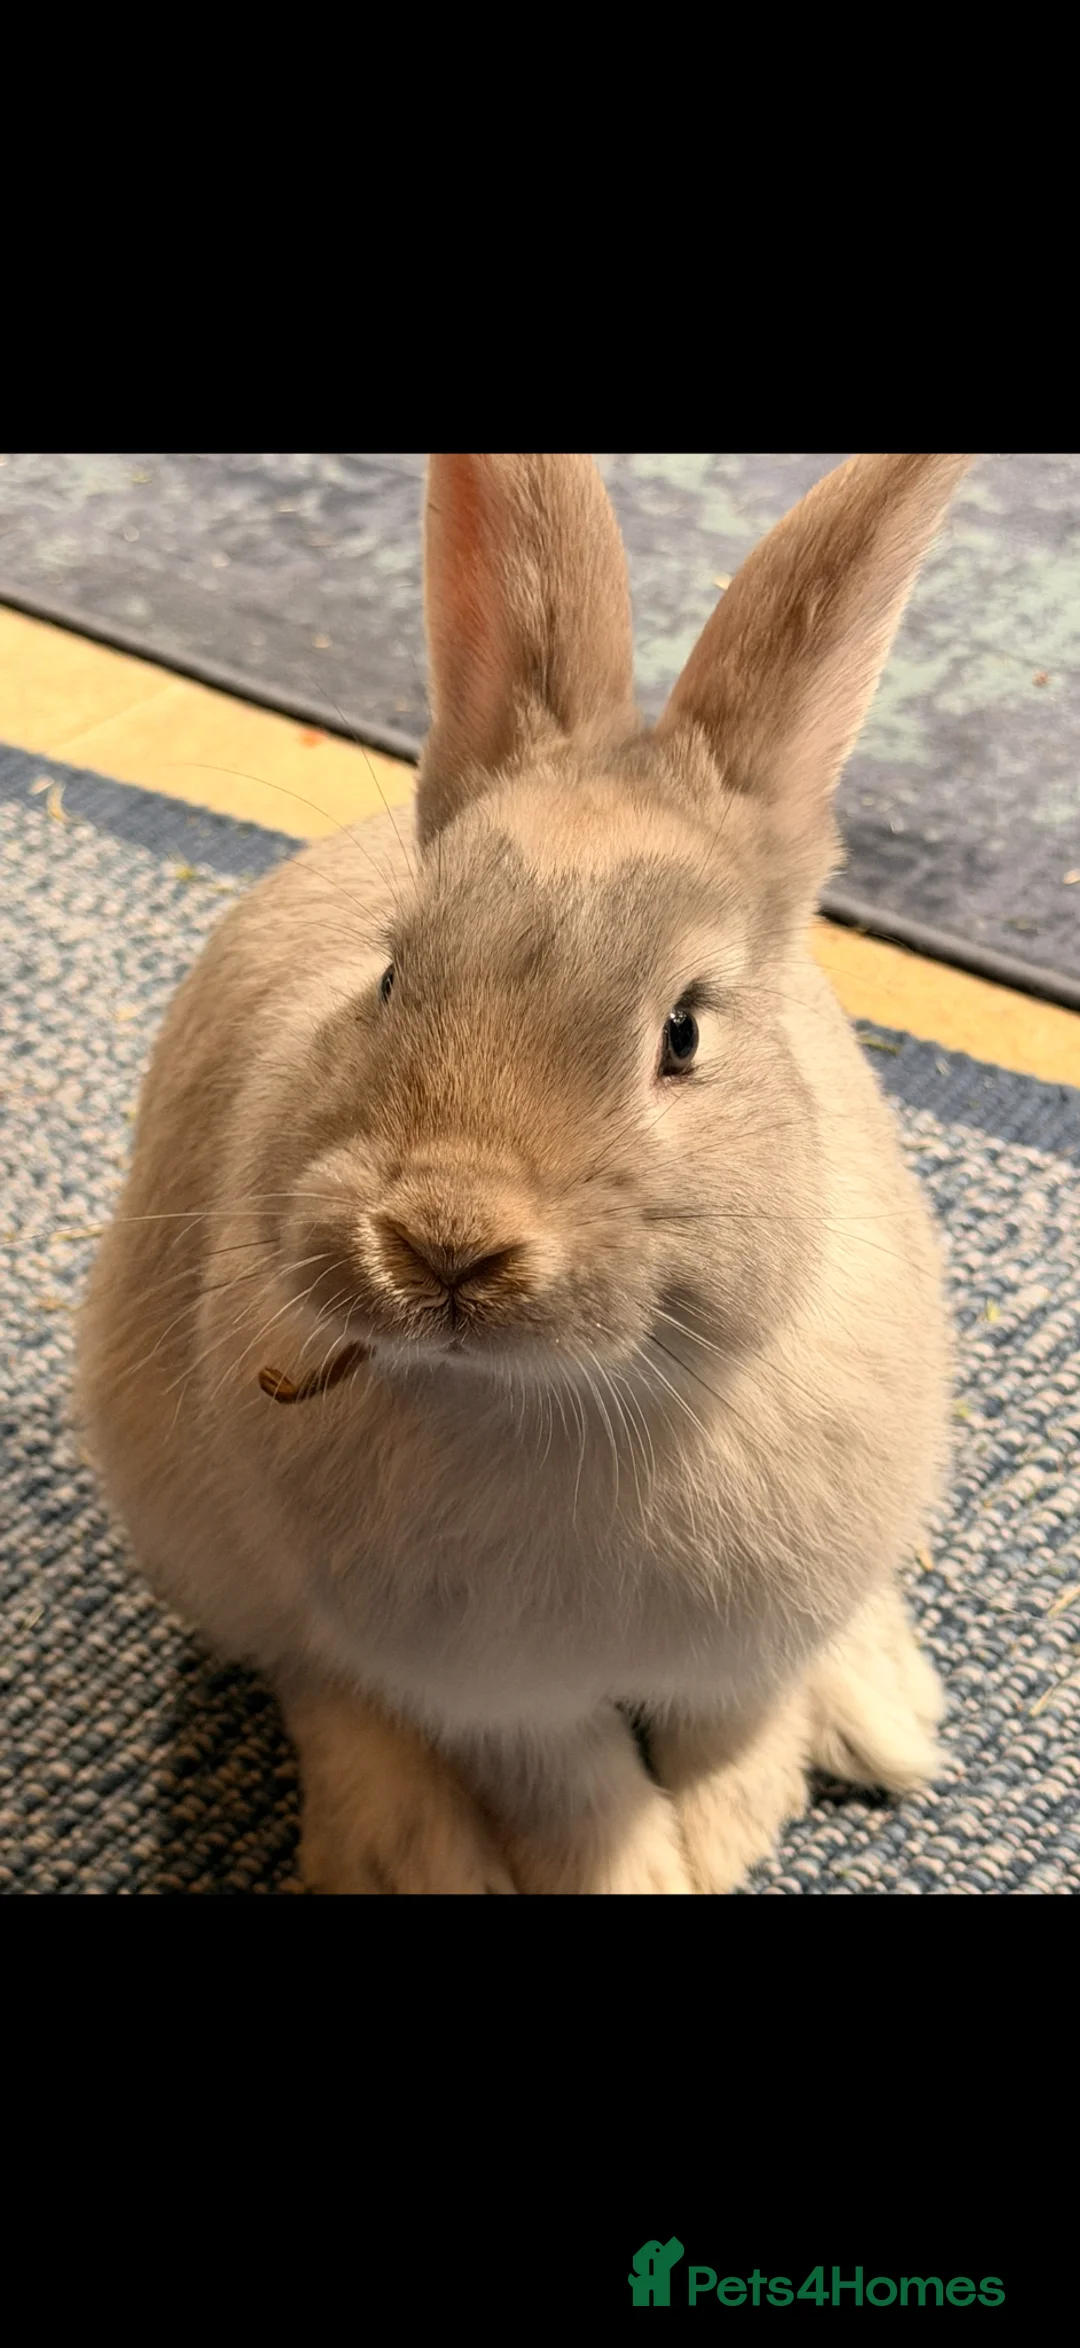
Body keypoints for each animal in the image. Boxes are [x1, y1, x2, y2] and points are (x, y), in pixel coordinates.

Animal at [77, 452, 971, 1894]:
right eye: (391, 977)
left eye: (683, 1033)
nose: (446, 1239)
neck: (572, 1399)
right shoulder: (485, 1692)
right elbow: (568, 1782)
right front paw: (644, 1870)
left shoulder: (750, 1641)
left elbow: (733, 1722)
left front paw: (731, 1824)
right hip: (193, 1528)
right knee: (313, 1679)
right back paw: (407, 1851)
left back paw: (885, 1715)